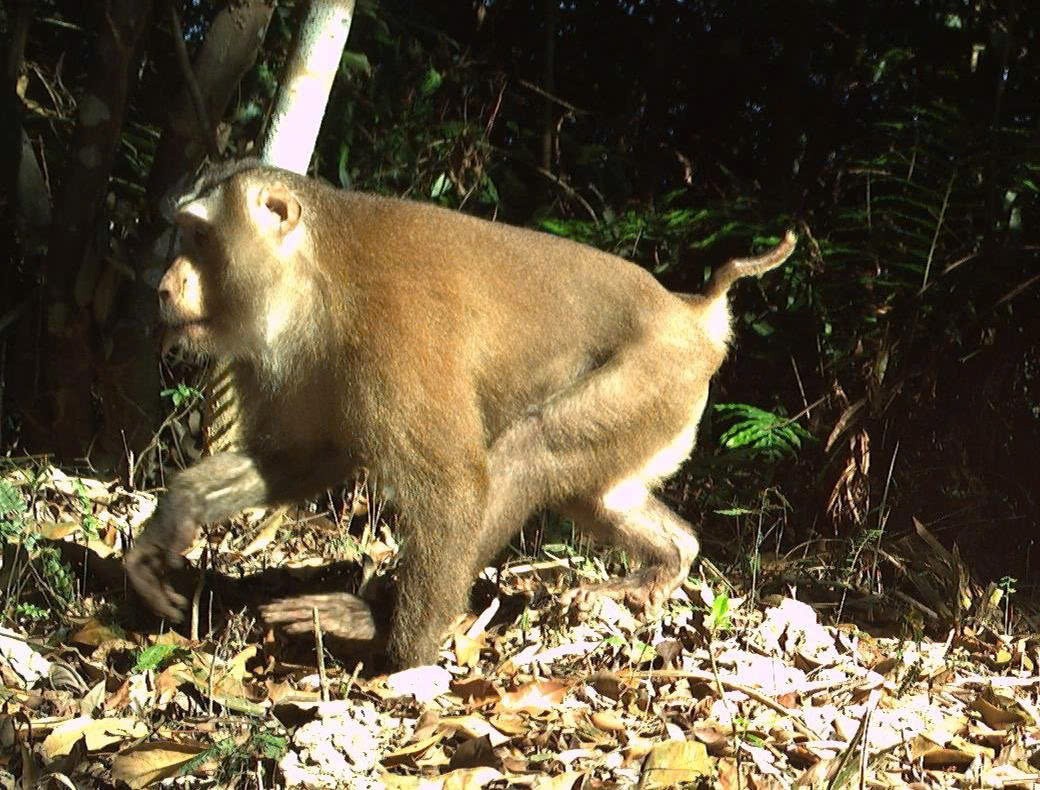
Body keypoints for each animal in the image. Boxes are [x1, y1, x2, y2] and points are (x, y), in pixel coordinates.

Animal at [127, 159, 794, 665]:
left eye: (199, 236)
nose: (162, 287)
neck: (312, 275)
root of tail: (692, 312)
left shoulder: (393, 329)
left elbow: (452, 486)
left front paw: (398, 648)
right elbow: (300, 458)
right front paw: (173, 519)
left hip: (655, 375)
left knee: (531, 451)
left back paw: (374, 618)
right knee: (596, 495)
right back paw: (670, 561)